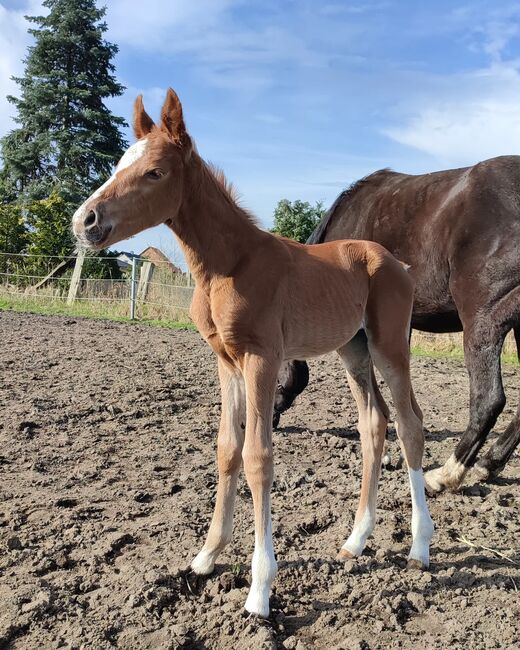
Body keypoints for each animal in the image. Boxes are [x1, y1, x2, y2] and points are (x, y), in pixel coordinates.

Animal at [71, 88, 432, 616]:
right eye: (119, 163)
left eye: (155, 172)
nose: (86, 221)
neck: (228, 265)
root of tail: (395, 262)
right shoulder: (226, 361)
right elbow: (228, 448)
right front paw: (205, 556)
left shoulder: (262, 358)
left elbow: (259, 456)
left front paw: (260, 589)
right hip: (353, 350)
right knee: (374, 424)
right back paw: (355, 541)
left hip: (388, 345)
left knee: (409, 424)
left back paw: (421, 547)